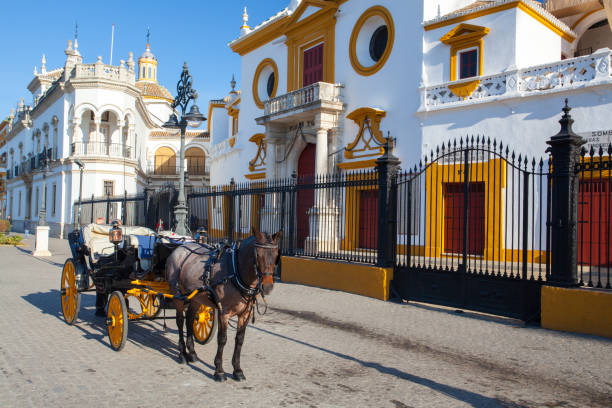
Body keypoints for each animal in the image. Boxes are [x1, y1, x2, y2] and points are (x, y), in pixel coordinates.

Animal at [166, 228, 284, 380]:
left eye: (276, 256)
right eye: (257, 255)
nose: (267, 287)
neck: (235, 271)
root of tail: (179, 248)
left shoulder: (246, 313)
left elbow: (240, 339)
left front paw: (237, 370)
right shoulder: (224, 313)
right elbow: (222, 339)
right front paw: (219, 371)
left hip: (196, 298)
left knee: (190, 319)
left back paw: (192, 353)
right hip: (178, 296)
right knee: (180, 321)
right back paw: (182, 354)